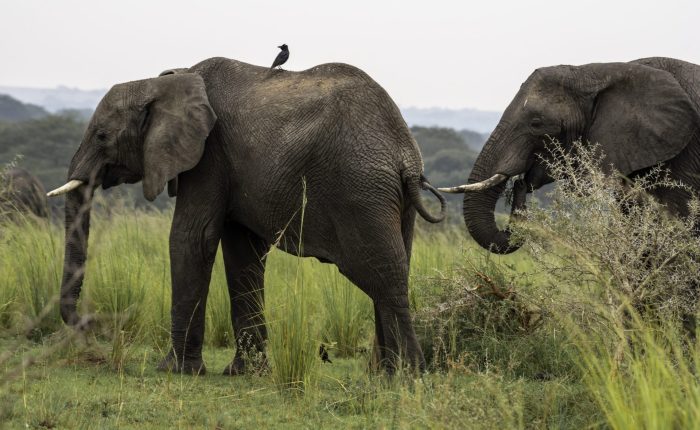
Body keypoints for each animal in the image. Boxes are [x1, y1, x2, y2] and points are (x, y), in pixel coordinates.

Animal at [47, 57, 446, 375]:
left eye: (101, 136)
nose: (91, 328)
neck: (167, 80)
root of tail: (406, 155)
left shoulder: (209, 154)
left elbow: (192, 238)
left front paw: (174, 371)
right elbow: (242, 252)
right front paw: (244, 373)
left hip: (359, 189)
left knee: (385, 275)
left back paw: (408, 376)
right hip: (391, 200)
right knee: (392, 269)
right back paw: (383, 375)